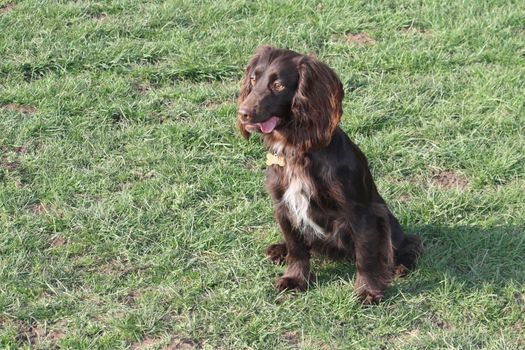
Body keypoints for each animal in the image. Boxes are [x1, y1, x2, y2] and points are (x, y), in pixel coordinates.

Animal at [237, 45, 422, 304]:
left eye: (279, 85)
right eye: (253, 79)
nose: (243, 113)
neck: (296, 150)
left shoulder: (360, 211)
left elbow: (366, 255)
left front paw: (367, 291)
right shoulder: (283, 205)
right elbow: (296, 248)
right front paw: (295, 279)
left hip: (388, 220)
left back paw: (398, 265)